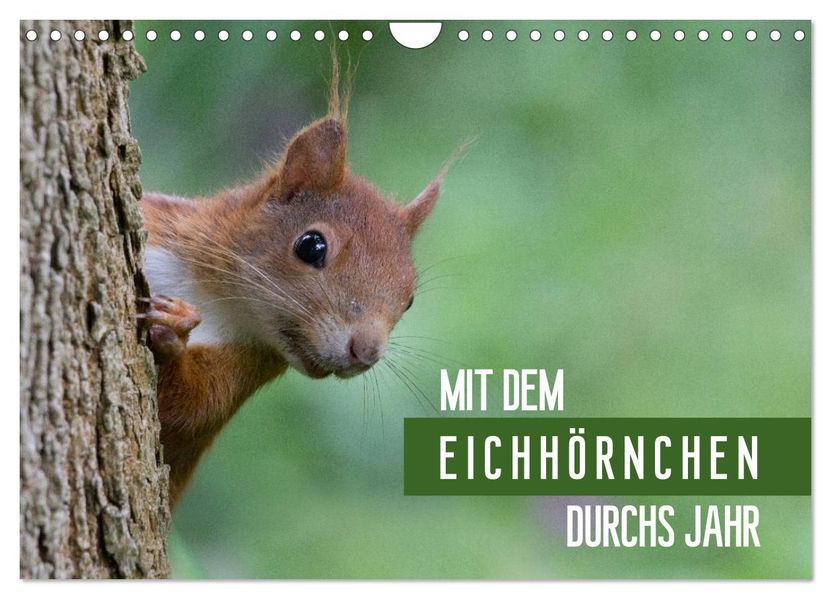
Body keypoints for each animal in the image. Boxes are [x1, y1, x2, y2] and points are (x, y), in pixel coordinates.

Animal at [138, 59, 444, 507]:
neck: (211, 295)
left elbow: (186, 410)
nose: (366, 352)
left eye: (409, 300)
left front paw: (173, 331)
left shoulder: (243, 369)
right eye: (311, 245)